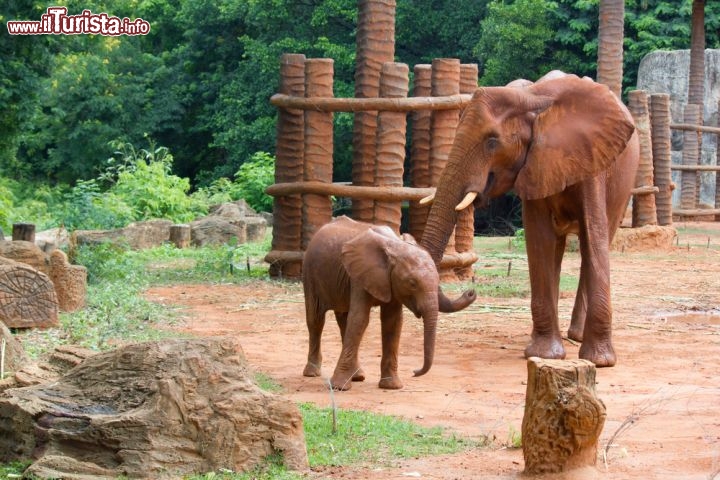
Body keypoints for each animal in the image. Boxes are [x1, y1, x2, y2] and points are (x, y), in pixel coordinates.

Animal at [300, 218, 476, 390]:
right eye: (412, 283)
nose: (471, 292)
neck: (395, 246)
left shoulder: (390, 282)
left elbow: (393, 322)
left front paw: (392, 386)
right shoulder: (360, 276)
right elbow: (360, 319)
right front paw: (339, 387)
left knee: (343, 319)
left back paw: (358, 376)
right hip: (309, 273)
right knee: (316, 319)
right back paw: (312, 373)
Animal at [420, 71, 640, 366]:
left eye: (492, 141)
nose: (470, 292)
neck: (533, 98)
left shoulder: (592, 158)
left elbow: (594, 235)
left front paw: (599, 361)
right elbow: (539, 239)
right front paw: (544, 355)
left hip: (624, 183)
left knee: (593, 242)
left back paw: (577, 336)